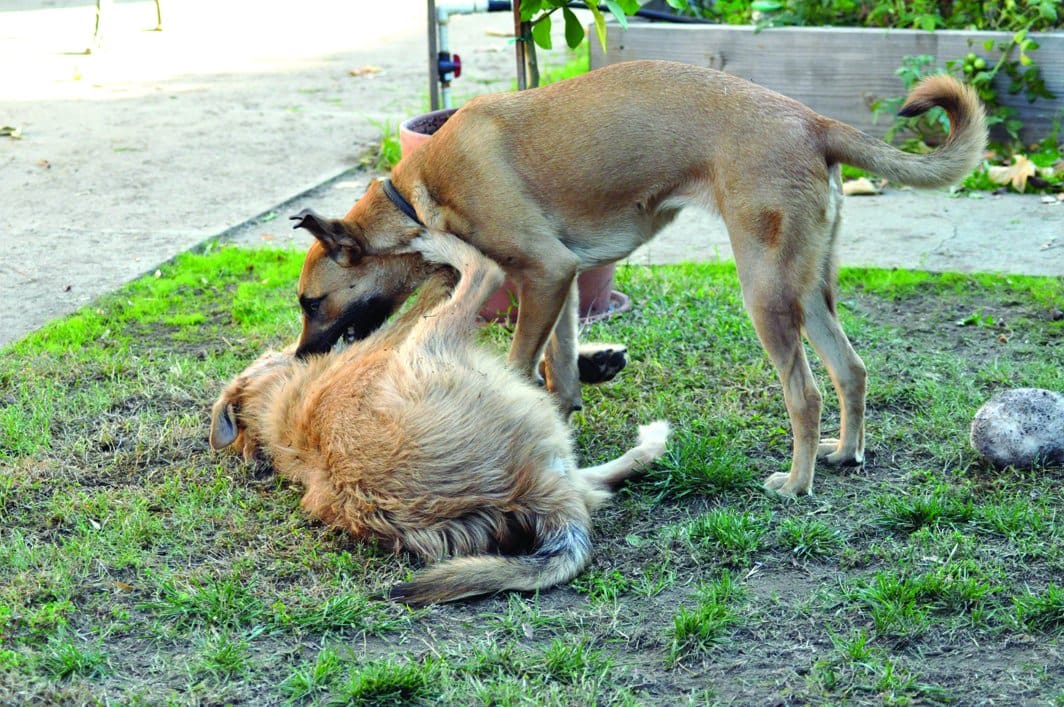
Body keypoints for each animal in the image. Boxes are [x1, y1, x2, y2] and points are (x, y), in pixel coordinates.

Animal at [207, 231, 668, 600]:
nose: (304, 351)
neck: (278, 404)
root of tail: (537, 499)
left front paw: (595, 359)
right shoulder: (396, 336)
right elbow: (430, 291)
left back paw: (649, 440)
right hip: (434, 345)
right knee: (482, 273)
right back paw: (436, 243)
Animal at [287, 59, 983, 496]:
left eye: (310, 303)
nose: (300, 358)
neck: (416, 197)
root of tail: (814, 122)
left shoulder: (544, 271)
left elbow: (521, 363)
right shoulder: (562, 283)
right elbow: (559, 368)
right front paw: (560, 413)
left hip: (765, 293)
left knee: (805, 394)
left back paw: (797, 483)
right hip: (807, 291)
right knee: (851, 369)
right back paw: (845, 453)